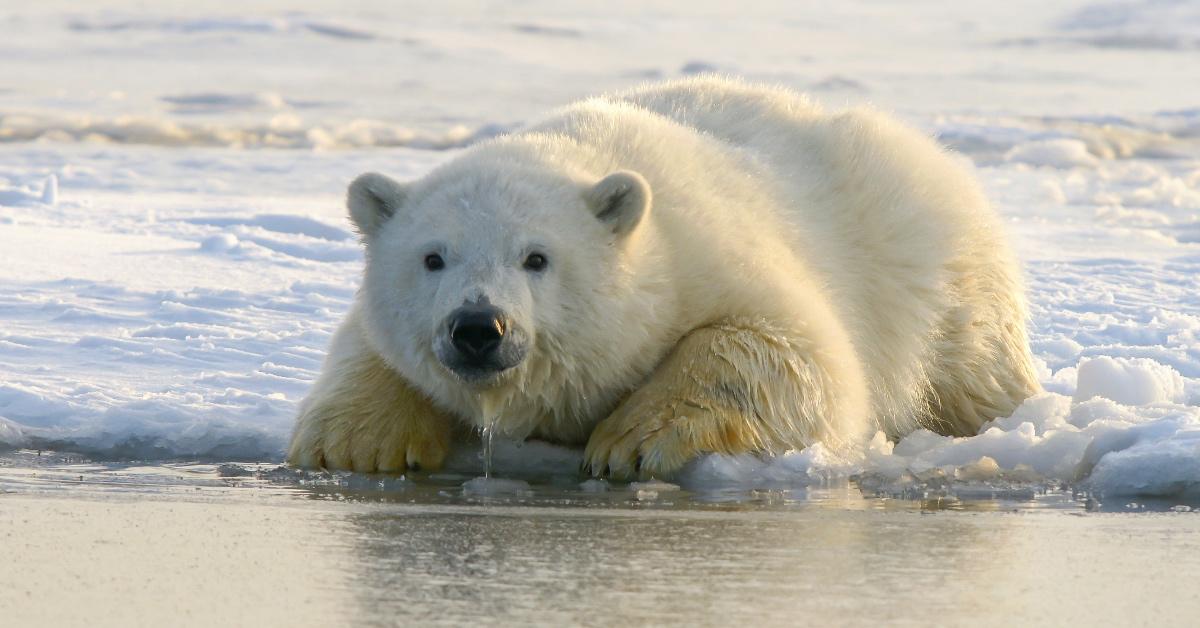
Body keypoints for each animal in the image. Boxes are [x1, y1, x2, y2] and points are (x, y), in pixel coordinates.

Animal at [288, 79, 1041, 482]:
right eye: (433, 258)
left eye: (536, 258)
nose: (478, 327)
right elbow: (365, 345)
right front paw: (357, 442)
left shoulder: (711, 255)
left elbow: (794, 352)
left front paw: (630, 441)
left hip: (933, 269)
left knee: (973, 366)